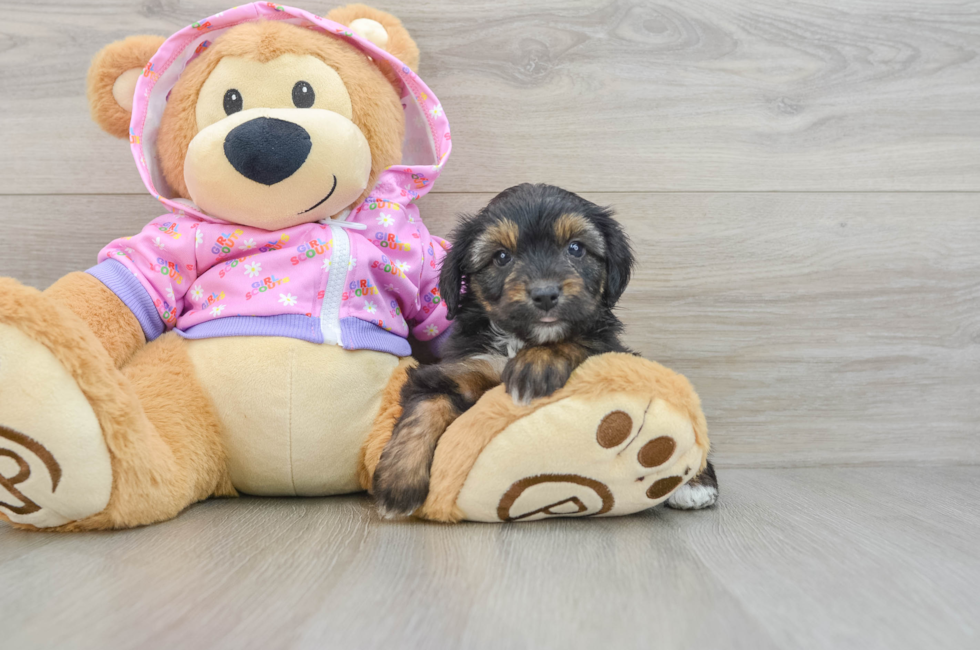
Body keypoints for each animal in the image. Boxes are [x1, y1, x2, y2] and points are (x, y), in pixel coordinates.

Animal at [372, 184, 716, 516]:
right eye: (501, 257)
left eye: (575, 249)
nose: (546, 294)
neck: (521, 341)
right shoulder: (457, 368)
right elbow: (423, 409)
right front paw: (398, 483)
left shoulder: (605, 348)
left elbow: (575, 339)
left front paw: (536, 365)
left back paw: (696, 482)